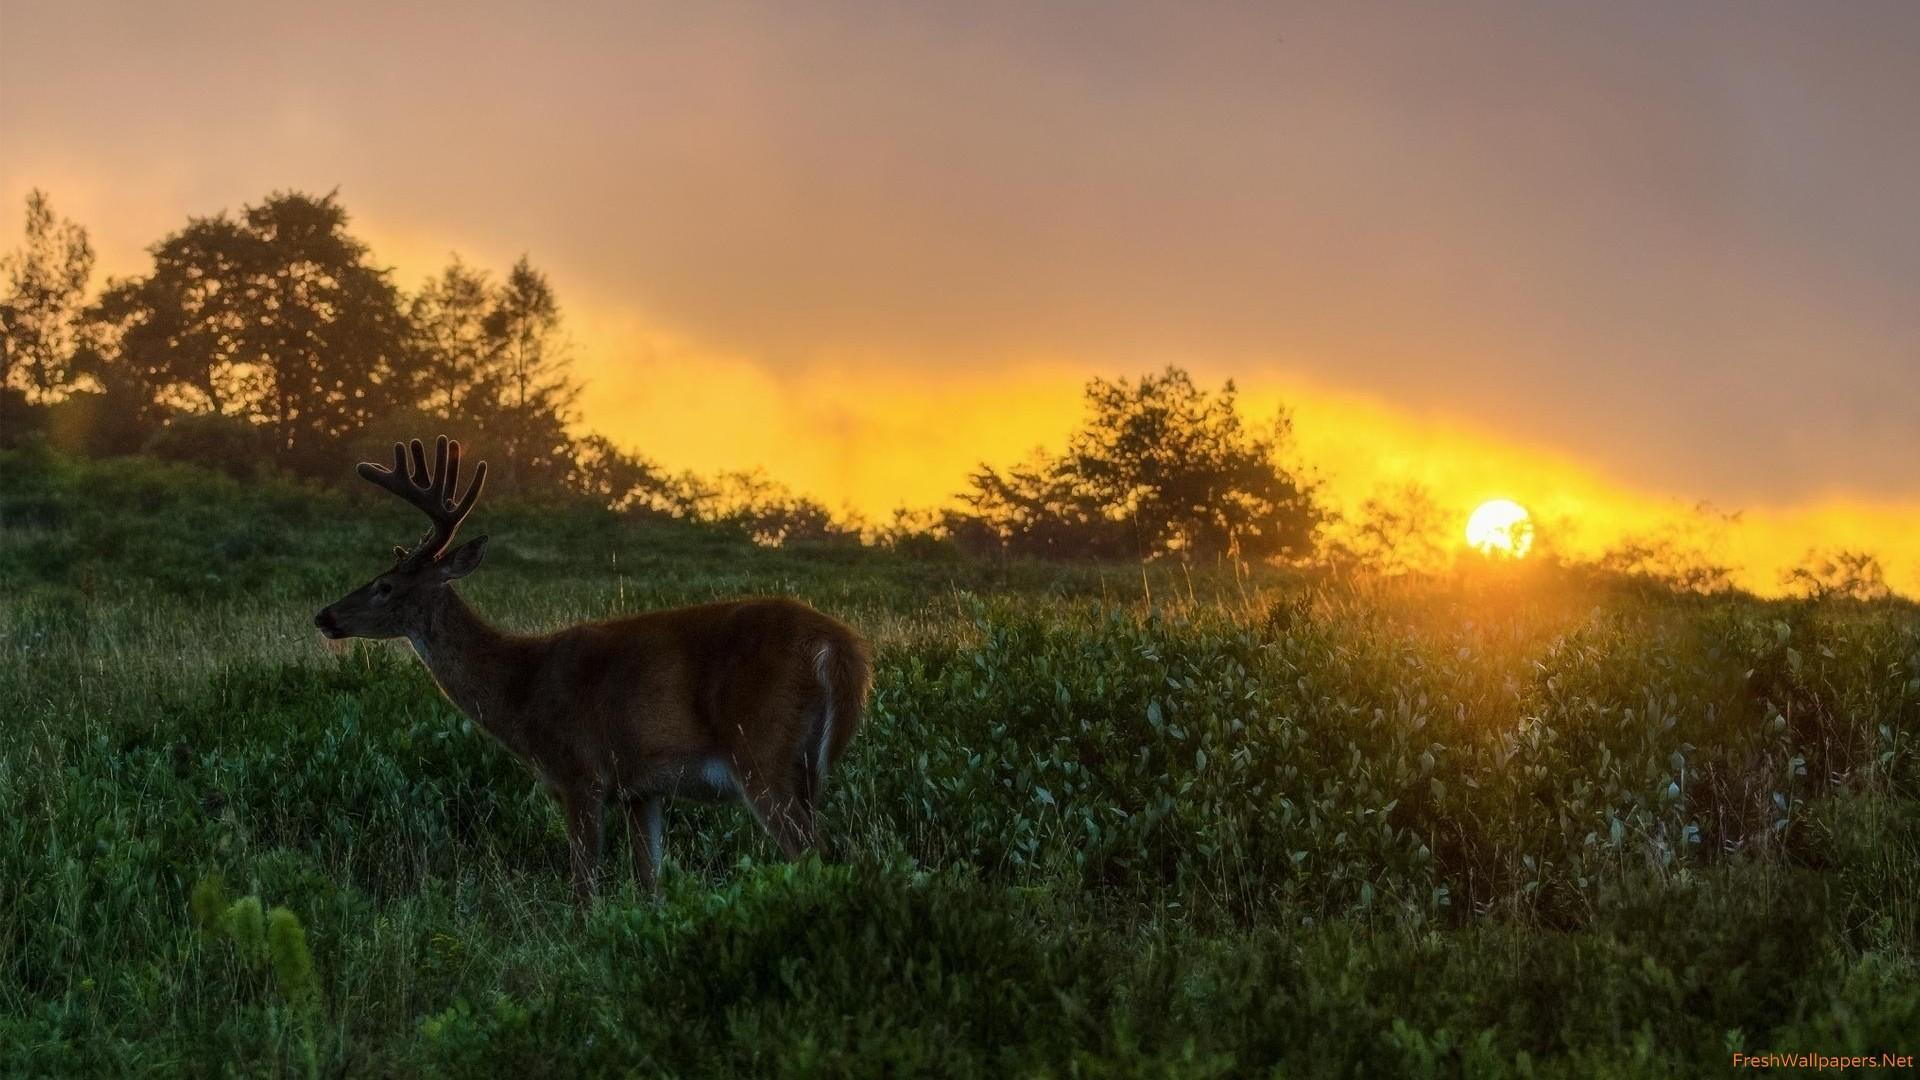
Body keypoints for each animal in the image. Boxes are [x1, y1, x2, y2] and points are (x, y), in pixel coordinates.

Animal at [316, 432, 879, 903]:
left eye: (385, 586)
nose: (325, 616)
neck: (520, 688)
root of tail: (841, 645)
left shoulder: (580, 773)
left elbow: (584, 888)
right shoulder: (641, 787)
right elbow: (650, 882)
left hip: (762, 750)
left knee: (817, 854)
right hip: (804, 766)